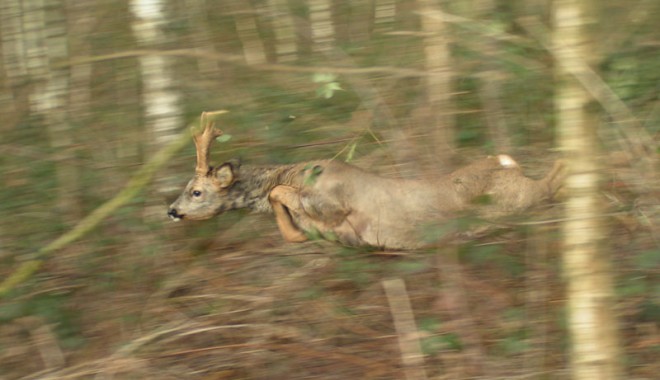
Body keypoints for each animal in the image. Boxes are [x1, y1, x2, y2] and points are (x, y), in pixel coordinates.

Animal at [168, 111, 560, 251]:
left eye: (196, 191)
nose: (171, 210)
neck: (295, 171)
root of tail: (508, 164)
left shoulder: (332, 200)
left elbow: (278, 191)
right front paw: (296, 233)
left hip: (517, 198)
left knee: (553, 178)